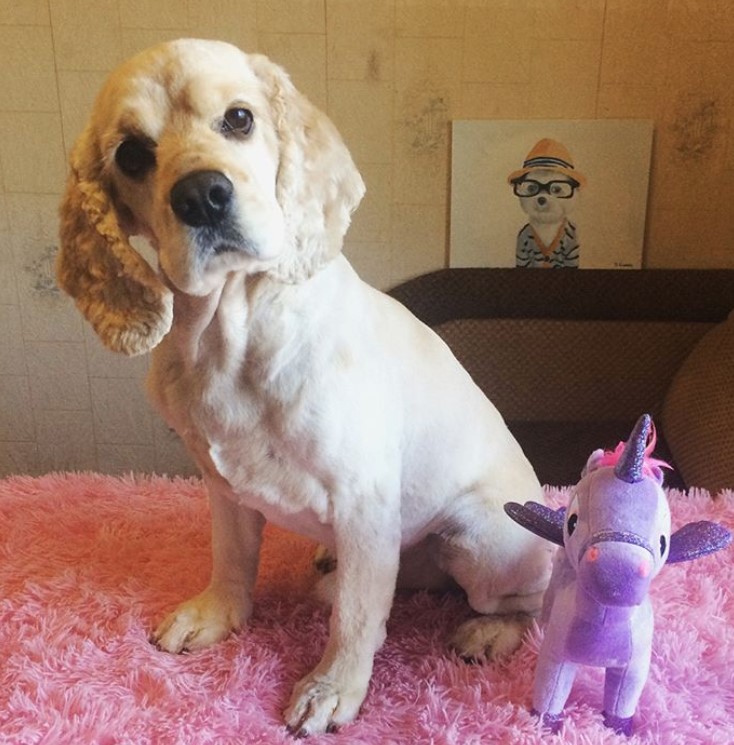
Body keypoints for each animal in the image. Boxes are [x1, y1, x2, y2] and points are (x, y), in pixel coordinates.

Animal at [57, 39, 552, 732]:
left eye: (239, 118)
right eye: (131, 154)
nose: (202, 195)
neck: (230, 335)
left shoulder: (364, 498)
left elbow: (356, 617)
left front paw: (331, 688)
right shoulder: (221, 483)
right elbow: (232, 557)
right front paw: (216, 614)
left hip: (486, 537)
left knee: (530, 599)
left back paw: (490, 631)